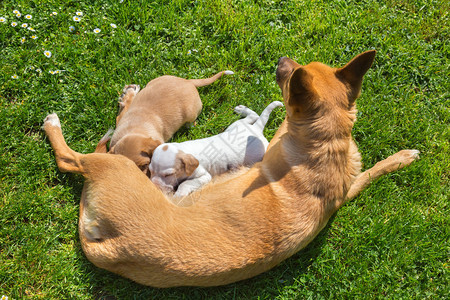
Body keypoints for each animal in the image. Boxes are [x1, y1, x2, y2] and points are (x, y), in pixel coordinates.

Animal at [149, 101, 284, 197]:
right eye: (150, 171)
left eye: (168, 174)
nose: (154, 188)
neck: (182, 149)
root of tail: (257, 128)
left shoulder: (204, 176)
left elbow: (185, 184)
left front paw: (178, 195)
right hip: (236, 125)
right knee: (252, 116)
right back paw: (242, 109)